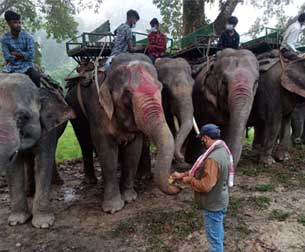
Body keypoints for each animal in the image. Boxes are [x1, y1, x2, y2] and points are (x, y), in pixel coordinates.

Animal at [0, 73, 74, 228]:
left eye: (22, 118)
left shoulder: (48, 129)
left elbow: (43, 162)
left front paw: (43, 224)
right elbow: (14, 168)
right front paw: (16, 221)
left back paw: (57, 183)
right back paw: (29, 191)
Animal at [65, 53, 179, 215]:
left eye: (161, 88)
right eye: (128, 93)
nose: (177, 186)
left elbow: (133, 152)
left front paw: (130, 198)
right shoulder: (97, 109)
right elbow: (106, 152)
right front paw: (113, 208)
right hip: (75, 113)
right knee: (85, 143)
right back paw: (91, 181)